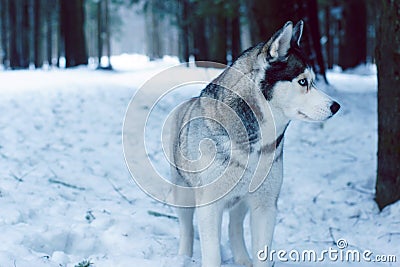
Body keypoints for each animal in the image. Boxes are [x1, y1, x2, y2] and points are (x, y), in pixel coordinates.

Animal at [170, 21, 340, 267]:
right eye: (302, 81)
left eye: (314, 81)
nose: (336, 106)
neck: (254, 144)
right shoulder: (209, 206)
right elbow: (212, 254)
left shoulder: (265, 206)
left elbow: (262, 252)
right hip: (183, 194)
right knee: (186, 228)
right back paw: (183, 257)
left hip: (242, 201)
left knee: (234, 225)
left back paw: (242, 258)